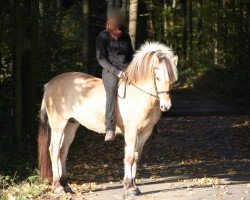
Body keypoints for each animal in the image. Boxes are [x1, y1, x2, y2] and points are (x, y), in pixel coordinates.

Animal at [38, 42, 178, 195]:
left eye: (172, 80)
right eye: (158, 78)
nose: (166, 106)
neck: (138, 94)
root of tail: (50, 84)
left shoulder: (145, 133)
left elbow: (136, 157)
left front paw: (133, 185)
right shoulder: (131, 132)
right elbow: (129, 157)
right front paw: (130, 187)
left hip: (71, 125)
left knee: (63, 151)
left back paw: (65, 185)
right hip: (58, 125)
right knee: (54, 150)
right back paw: (57, 186)